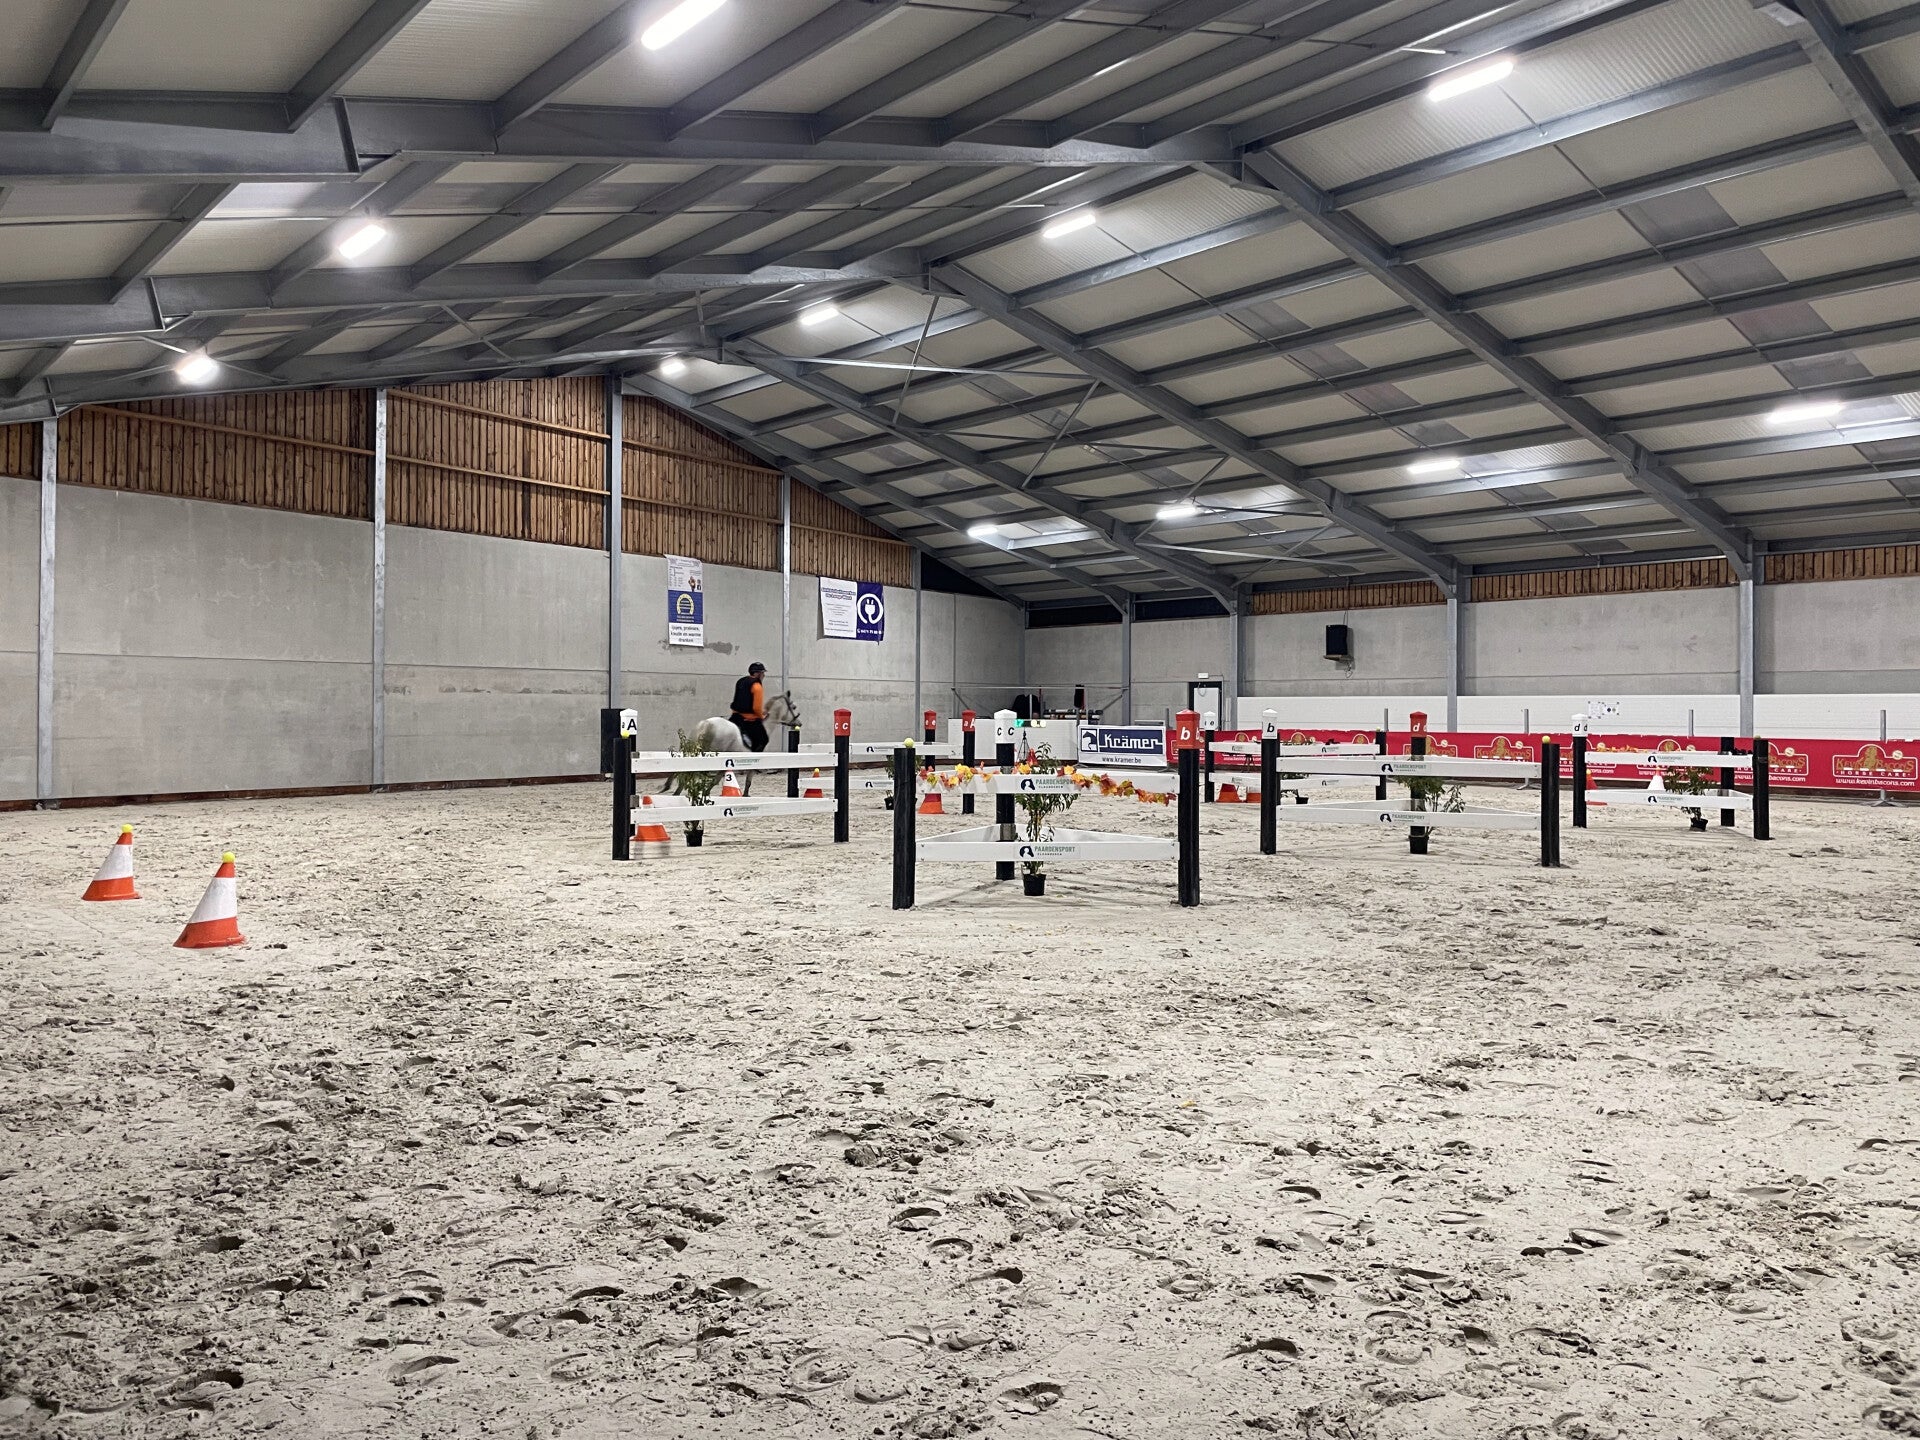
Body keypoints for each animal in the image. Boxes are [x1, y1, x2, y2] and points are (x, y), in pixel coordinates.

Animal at [665, 693, 802, 798]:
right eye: (794, 707)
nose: (799, 723)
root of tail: (707, 724)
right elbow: (748, 781)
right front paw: (745, 795)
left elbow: (716, 780)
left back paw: (671, 788)